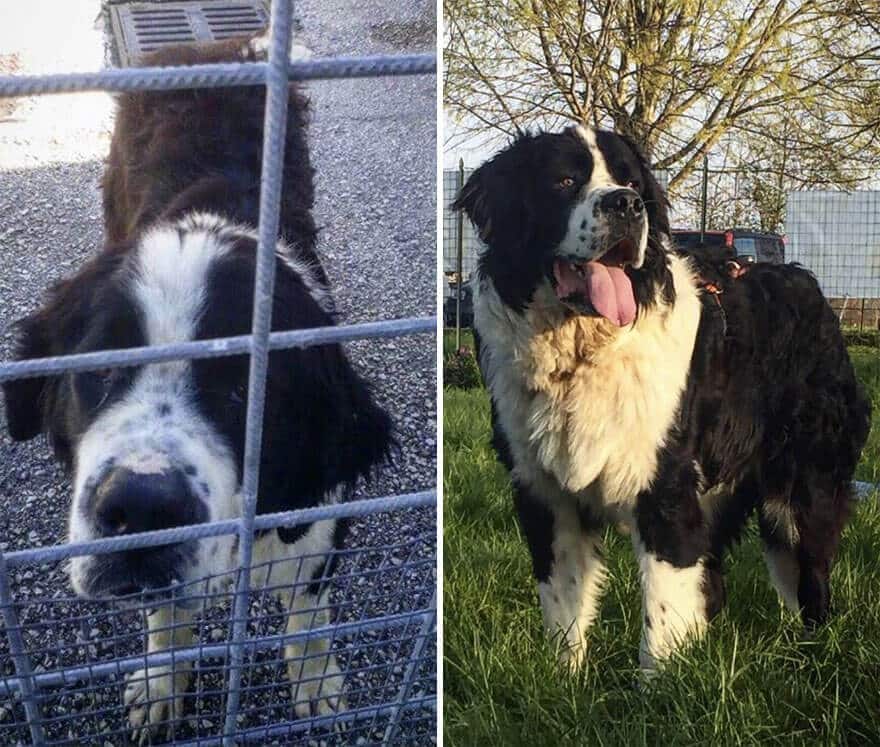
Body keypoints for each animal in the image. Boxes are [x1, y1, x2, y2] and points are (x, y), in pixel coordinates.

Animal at [0, 33, 392, 736]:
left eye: (244, 390)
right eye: (100, 367)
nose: (143, 509)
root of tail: (212, 44)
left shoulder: (321, 509)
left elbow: (307, 610)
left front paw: (316, 680)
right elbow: (166, 614)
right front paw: (162, 683)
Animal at [454, 127, 872, 676]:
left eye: (632, 183)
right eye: (564, 181)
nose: (626, 205)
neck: (583, 349)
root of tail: (809, 286)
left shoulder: (666, 488)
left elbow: (662, 609)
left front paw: (656, 689)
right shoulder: (544, 491)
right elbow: (564, 604)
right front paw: (565, 681)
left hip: (803, 487)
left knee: (812, 578)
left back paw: (812, 655)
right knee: (716, 581)